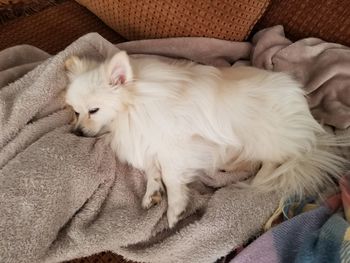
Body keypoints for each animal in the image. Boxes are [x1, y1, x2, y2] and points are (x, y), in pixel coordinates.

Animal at [64, 51, 346, 229]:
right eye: (76, 112)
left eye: (93, 111)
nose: (76, 132)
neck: (132, 107)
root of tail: (307, 113)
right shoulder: (149, 144)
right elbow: (152, 171)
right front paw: (152, 193)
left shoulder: (177, 146)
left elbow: (170, 176)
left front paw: (174, 209)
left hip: (263, 136)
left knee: (276, 161)